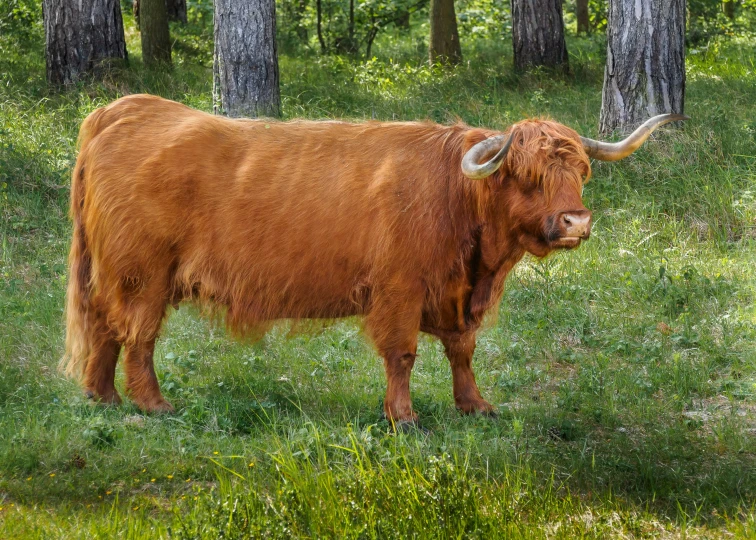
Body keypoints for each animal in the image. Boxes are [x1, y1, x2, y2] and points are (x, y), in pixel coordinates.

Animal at [60, 95, 684, 424]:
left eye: (580, 171)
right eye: (526, 177)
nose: (576, 222)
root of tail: (127, 108)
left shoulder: (458, 299)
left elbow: (462, 352)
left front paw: (475, 405)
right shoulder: (400, 289)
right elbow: (403, 355)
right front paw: (403, 417)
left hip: (112, 272)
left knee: (104, 327)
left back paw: (100, 396)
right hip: (143, 274)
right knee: (137, 334)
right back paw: (153, 403)